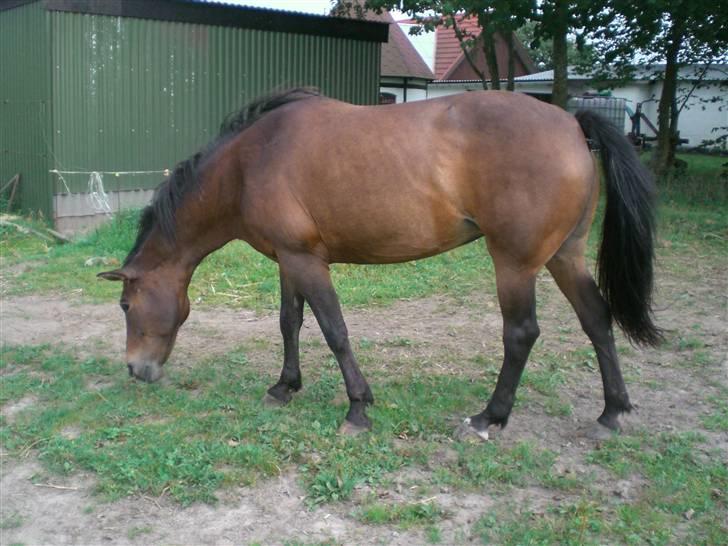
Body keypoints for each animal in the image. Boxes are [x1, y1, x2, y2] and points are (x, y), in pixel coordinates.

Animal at [96, 88, 660, 438]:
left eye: (125, 306)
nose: (136, 369)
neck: (249, 161)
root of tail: (572, 123)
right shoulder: (288, 260)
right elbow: (289, 322)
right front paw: (284, 387)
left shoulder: (307, 262)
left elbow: (334, 331)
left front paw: (357, 408)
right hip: (565, 255)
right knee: (597, 318)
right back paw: (611, 413)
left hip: (516, 264)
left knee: (521, 333)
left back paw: (489, 417)